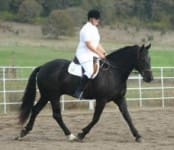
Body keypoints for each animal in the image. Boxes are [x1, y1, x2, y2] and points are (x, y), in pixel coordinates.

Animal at [16, 43, 152, 142]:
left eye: (149, 59)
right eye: (142, 59)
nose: (150, 78)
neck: (114, 72)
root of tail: (43, 66)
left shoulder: (119, 98)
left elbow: (127, 116)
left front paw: (137, 135)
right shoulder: (101, 99)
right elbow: (96, 118)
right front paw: (81, 134)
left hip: (46, 95)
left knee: (35, 110)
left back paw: (23, 132)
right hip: (53, 95)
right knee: (56, 114)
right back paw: (70, 135)